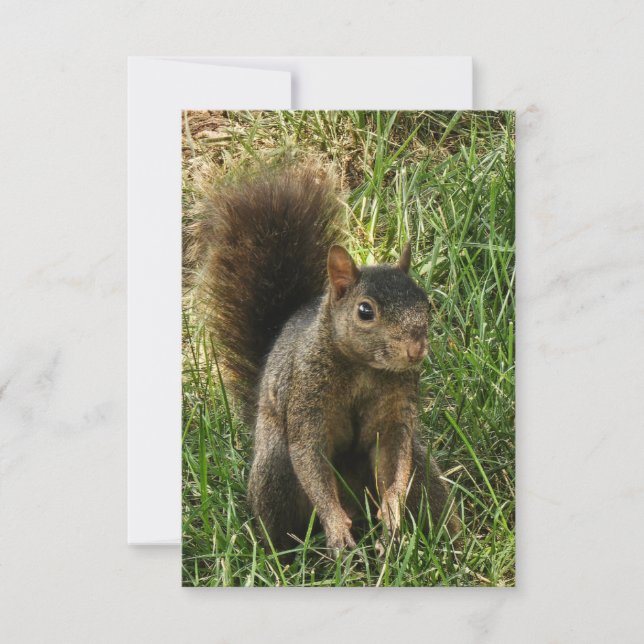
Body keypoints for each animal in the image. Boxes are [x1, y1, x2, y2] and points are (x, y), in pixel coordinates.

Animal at [192, 162, 458, 552]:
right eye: (365, 311)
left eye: (426, 303)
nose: (415, 350)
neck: (363, 367)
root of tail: (357, 503)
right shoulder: (307, 398)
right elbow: (310, 456)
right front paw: (336, 526)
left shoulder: (395, 412)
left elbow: (394, 457)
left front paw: (392, 512)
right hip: (275, 468)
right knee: (280, 521)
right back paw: (281, 555)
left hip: (424, 473)